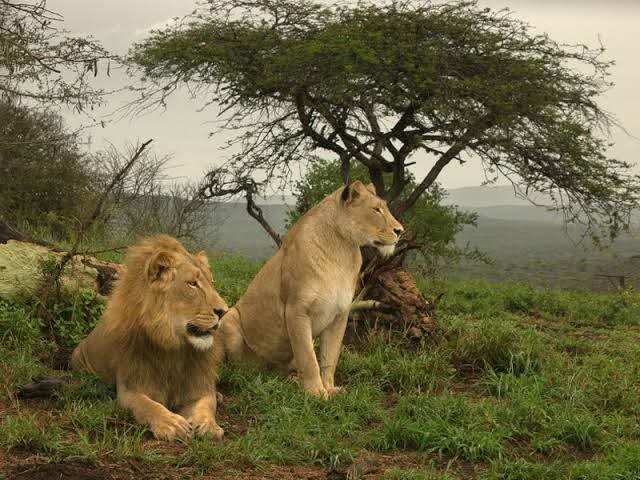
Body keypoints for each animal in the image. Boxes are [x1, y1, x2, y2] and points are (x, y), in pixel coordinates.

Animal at [71, 234, 229, 441]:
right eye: (192, 283)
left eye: (212, 282)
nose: (224, 311)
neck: (175, 347)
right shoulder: (131, 387)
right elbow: (148, 406)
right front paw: (172, 423)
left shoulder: (199, 382)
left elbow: (207, 403)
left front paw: (208, 425)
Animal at [222, 181, 404, 398]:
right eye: (377, 209)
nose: (400, 230)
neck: (341, 251)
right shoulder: (296, 311)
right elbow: (309, 357)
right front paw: (316, 393)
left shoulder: (339, 315)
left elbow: (330, 357)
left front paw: (330, 389)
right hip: (228, 318)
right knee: (242, 368)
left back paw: (291, 380)